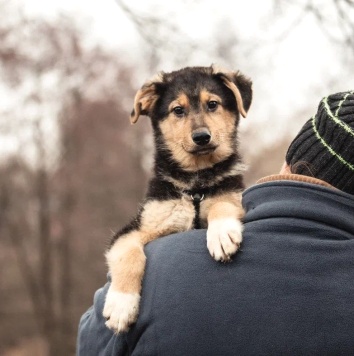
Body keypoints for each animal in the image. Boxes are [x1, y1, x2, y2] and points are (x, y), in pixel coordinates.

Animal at [102, 64, 252, 334]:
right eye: (178, 110)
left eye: (212, 104)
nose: (202, 137)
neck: (196, 183)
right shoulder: (137, 227)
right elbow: (128, 253)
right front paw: (121, 304)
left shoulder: (232, 195)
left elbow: (222, 204)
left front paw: (221, 234)